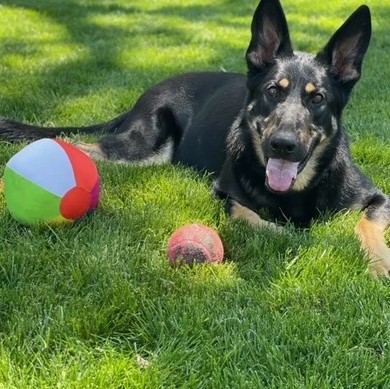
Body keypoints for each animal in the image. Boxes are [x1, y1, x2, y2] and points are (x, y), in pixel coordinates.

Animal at [0, 0, 388, 276]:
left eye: (317, 98)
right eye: (272, 92)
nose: (283, 145)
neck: (297, 191)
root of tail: (146, 94)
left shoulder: (377, 197)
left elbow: (367, 227)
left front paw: (379, 264)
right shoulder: (225, 194)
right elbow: (254, 219)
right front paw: (292, 236)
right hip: (142, 147)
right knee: (80, 147)